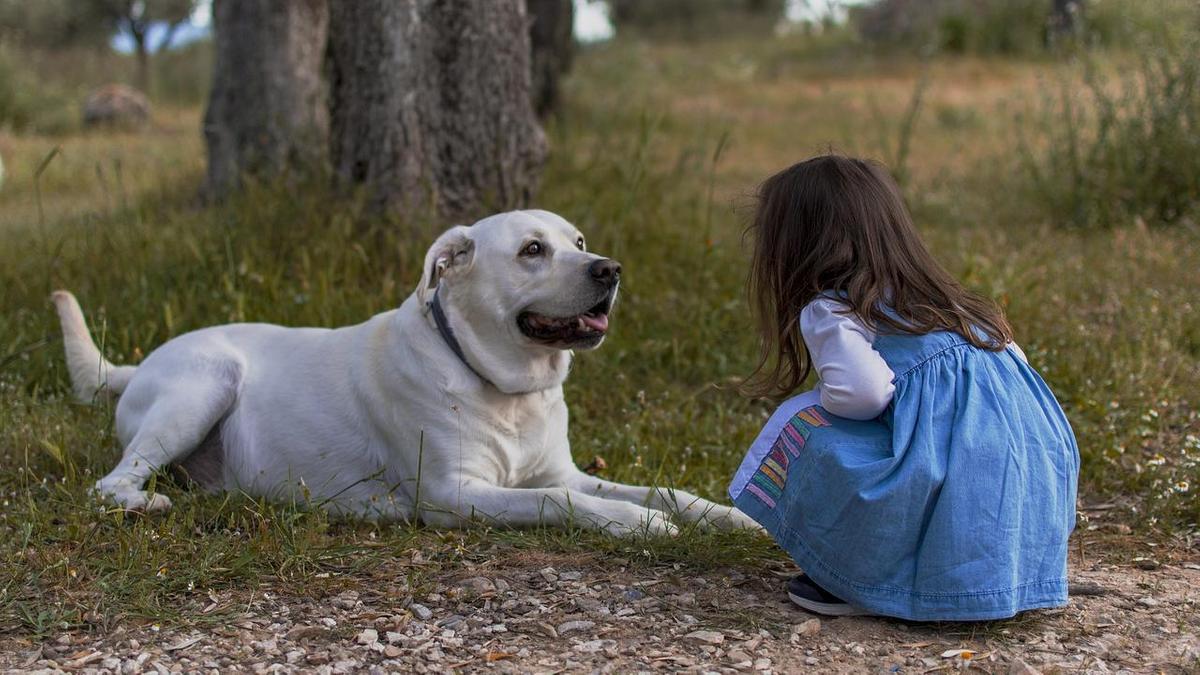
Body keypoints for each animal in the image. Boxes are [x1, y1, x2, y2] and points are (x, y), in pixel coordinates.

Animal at [56, 207, 753, 533]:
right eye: (532, 250)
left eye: (577, 243)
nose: (610, 269)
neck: (506, 389)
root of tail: (137, 365)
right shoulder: (454, 493)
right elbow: (555, 502)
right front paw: (638, 525)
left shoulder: (565, 470)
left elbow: (660, 490)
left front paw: (726, 517)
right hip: (204, 384)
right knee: (110, 483)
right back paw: (141, 504)